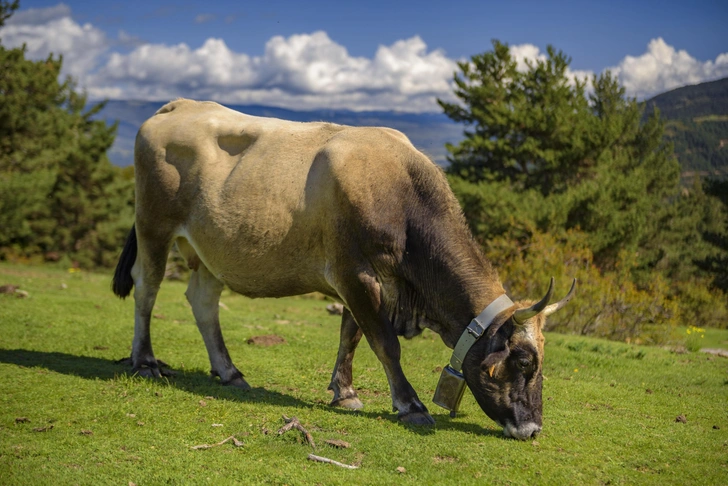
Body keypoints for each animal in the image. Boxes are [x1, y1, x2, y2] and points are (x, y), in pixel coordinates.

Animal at [111, 98, 576, 440]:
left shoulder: (362, 281)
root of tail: (176, 106)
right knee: (146, 287)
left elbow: (350, 334)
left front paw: (345, 392)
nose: (533, 429)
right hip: (153, 224)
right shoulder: (354, 274)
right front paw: (410, 404)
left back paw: (230, 372)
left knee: (203, 300)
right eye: (523, 363)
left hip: (209, 247)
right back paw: (145, 361)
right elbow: (384, 342)